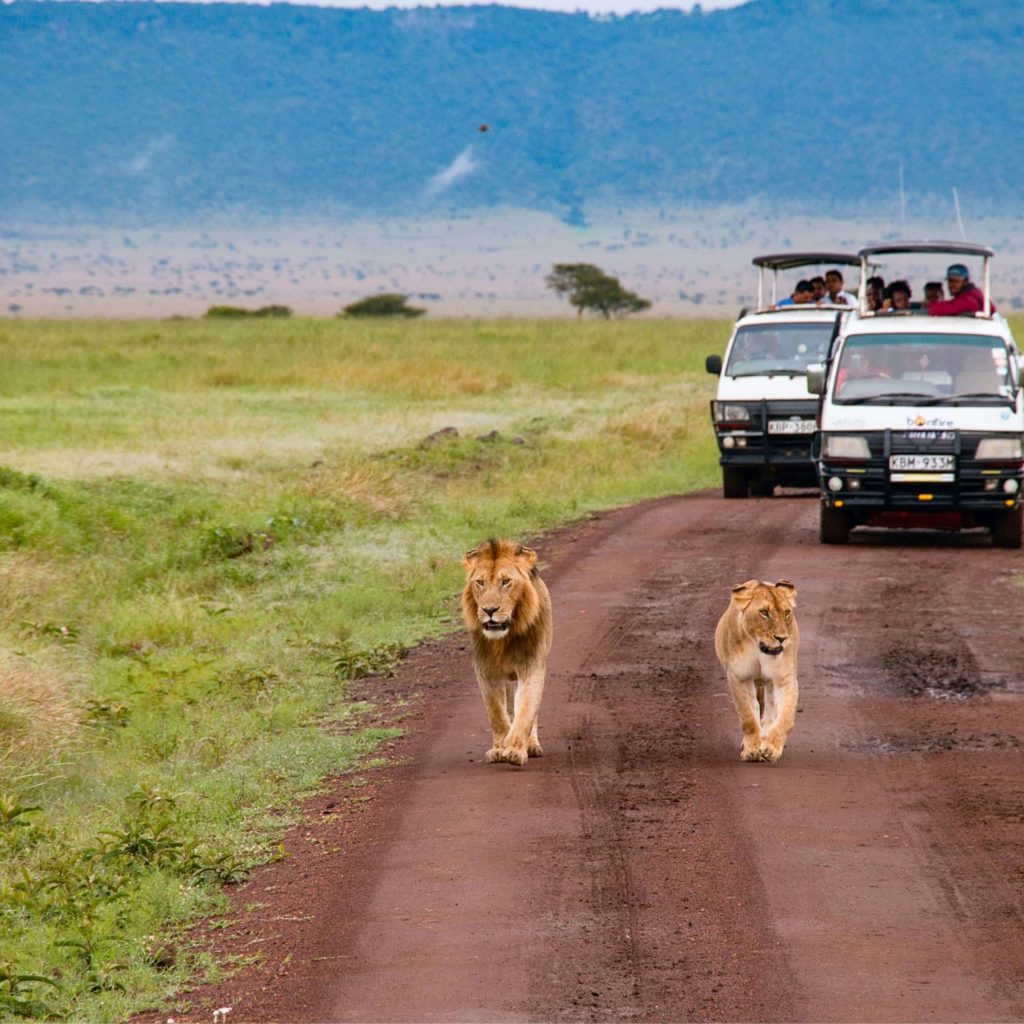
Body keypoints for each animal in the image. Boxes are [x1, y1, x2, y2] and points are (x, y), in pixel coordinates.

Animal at [460, 540, 548, 765]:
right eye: (480, 582)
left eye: (506, 582)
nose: (490, 610)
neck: (503, 640)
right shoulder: (486, 671)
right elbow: (497, 714)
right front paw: (500, 749)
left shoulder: (531, 667)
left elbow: (525, 710)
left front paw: (516, 750)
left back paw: (532, 745)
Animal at [712, 581, 798, 765]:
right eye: (764, 612)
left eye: (787, 612)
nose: (782, 638)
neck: (759, 648)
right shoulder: (739, 677)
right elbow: (748, 717)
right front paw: (751, 750)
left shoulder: (784, 678)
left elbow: (786, 718)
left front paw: (771, 748)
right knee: (757, 708)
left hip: (769, 683)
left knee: (770, 711)